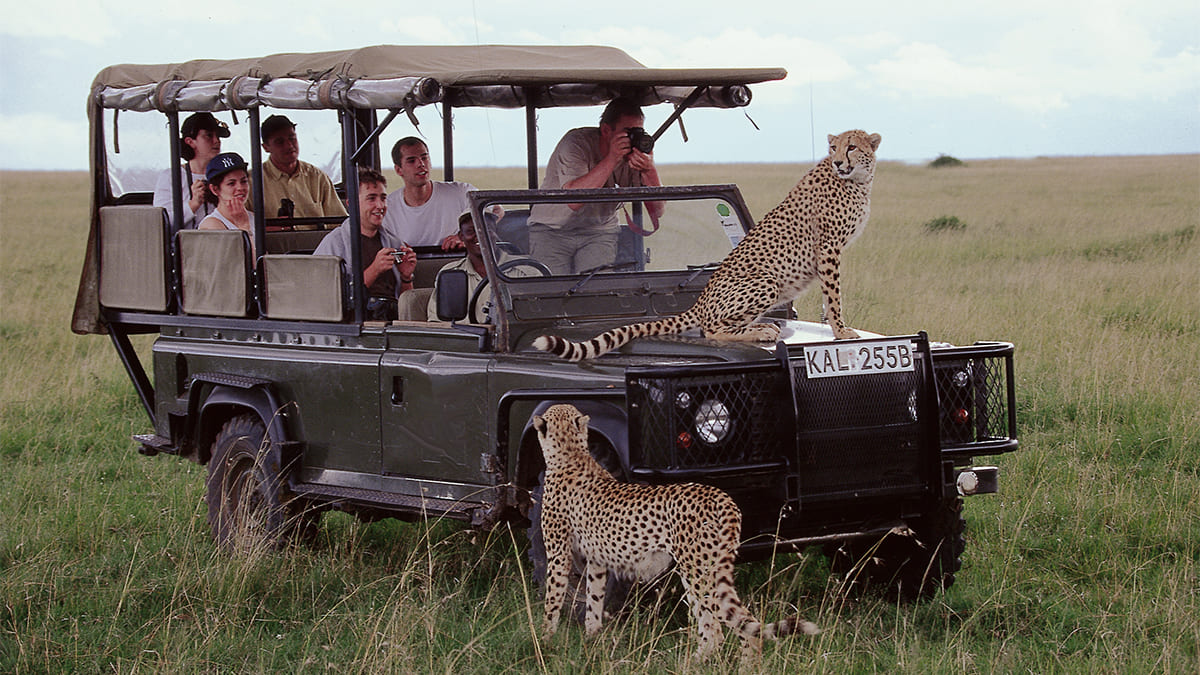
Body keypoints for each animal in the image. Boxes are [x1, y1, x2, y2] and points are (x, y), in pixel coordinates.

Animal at [535, 128, 883, 360]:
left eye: (852, 147)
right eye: (834, 147)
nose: (839, 162)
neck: (858, 181)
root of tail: (699, 301)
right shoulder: (828, 247)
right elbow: (833, 295)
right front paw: (842, 331)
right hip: (766, 281)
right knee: (711, 329)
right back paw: (761, 330)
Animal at [535, 401, 816, 653]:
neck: (571, 452)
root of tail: (719, 494)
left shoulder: (559, 554)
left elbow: (552, 599)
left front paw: (545, 639)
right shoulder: (596, 561)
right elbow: (594, 599)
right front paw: (592, 639)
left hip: (696, 570)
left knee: (716, 630)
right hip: (710, 567)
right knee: (740, 623)